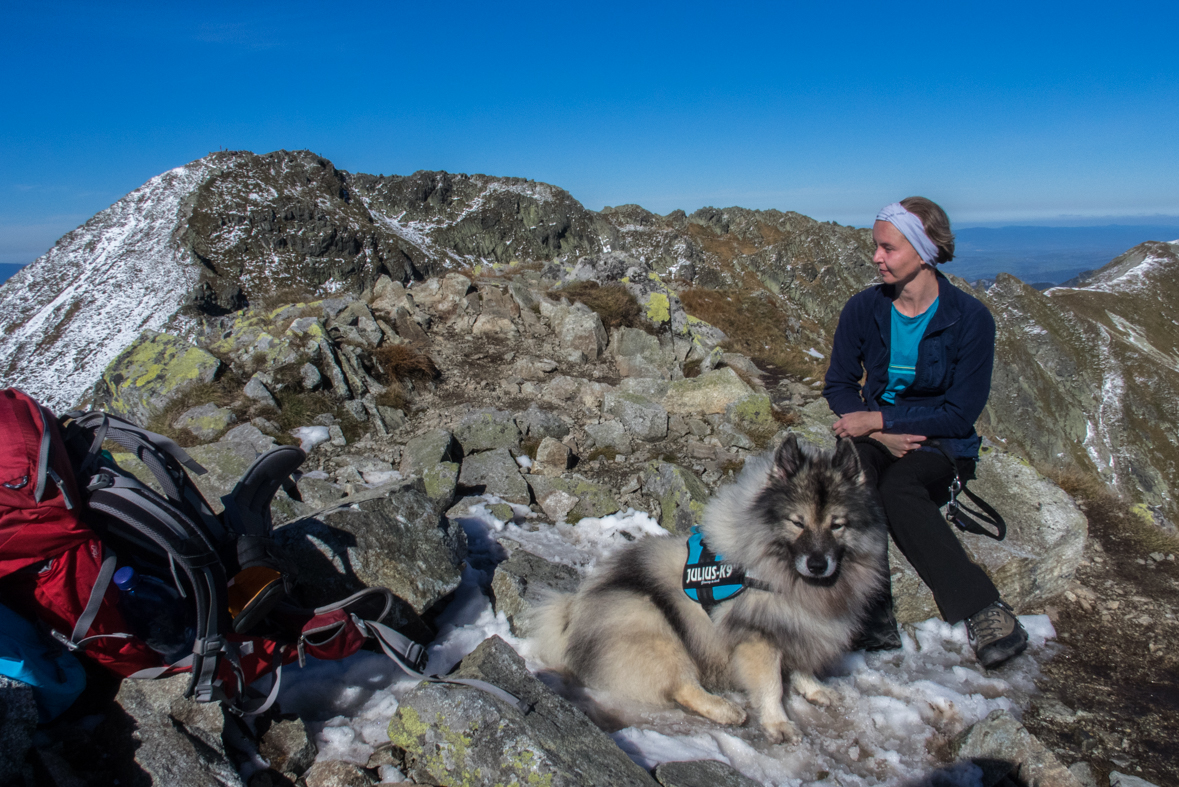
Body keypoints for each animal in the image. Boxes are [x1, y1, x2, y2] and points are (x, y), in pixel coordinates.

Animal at [532, 433, 886, 739]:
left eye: (837, 525)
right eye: (797, 522)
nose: (817, 563)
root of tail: (573, 616)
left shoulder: (798, 627)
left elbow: (801, 667)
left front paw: (815, 690)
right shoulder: (759, 637)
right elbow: (771, 685)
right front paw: (778, 724)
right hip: (653, 626)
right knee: (681, 686)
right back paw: (726, 710)